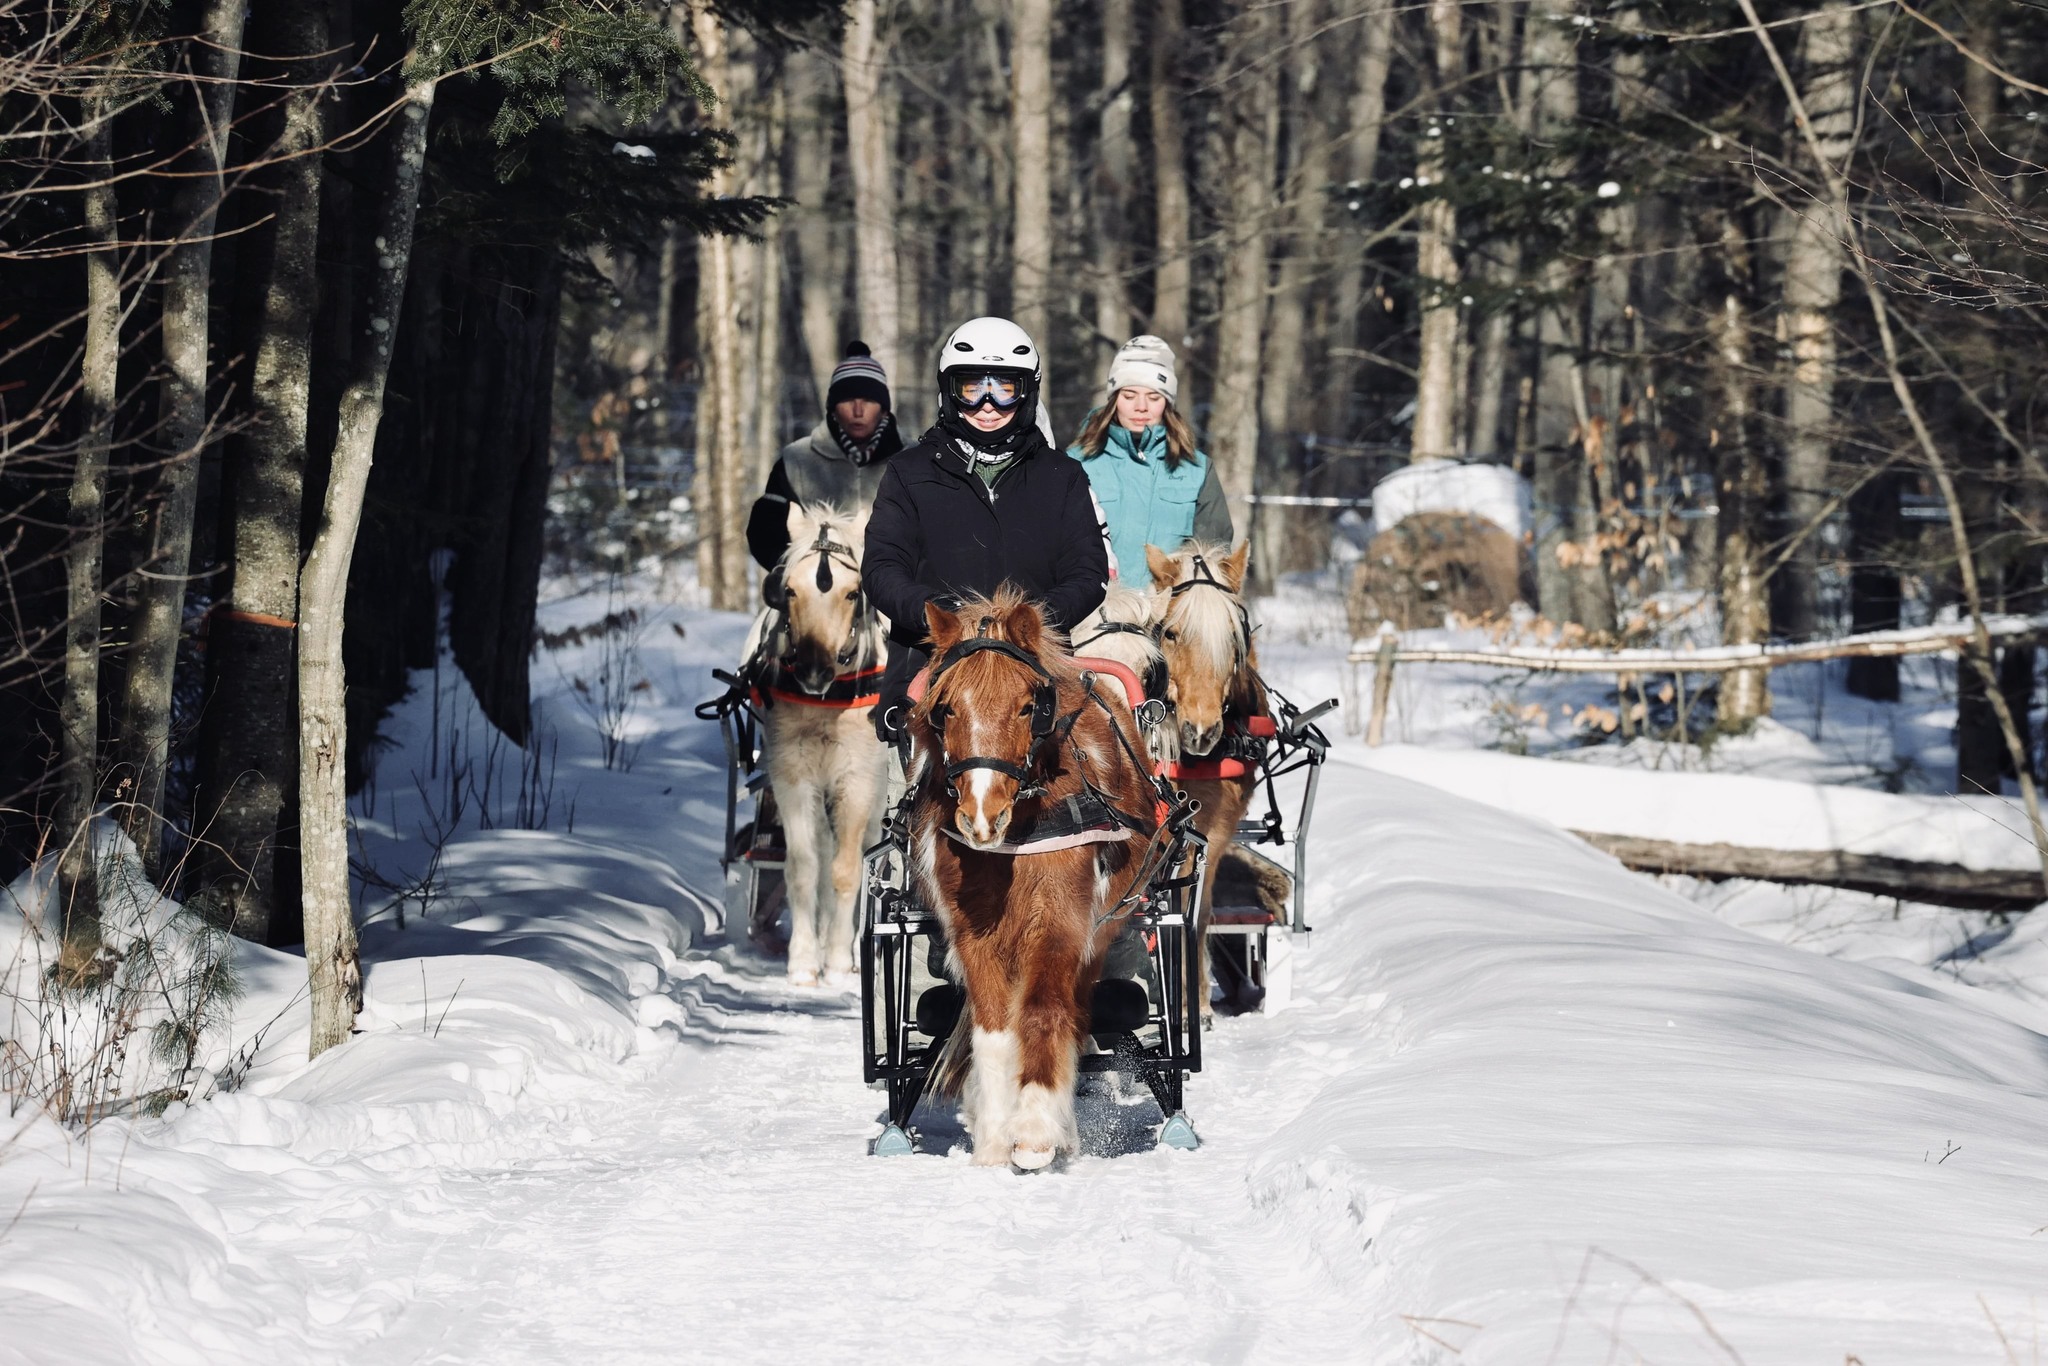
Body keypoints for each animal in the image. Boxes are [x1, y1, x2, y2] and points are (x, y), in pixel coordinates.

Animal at [749, 507, 884, 987]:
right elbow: (805, 867)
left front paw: (841, 960)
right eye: (789, 589)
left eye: (852, 593)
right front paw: (806, 960)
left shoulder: (859, 777)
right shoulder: (793, 774)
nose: (812, 670)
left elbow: (847, 870)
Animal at [913, 593, 1171, 1171]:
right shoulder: (973, 932)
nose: (980, 815)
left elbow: (1041, 1010)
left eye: (1028, 707)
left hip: (1100, 929)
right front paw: (991, 1138)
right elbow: (993, 1029)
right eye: (946, 709)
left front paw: (1032, 1132)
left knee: (1074, 1012)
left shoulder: (1060, 922)